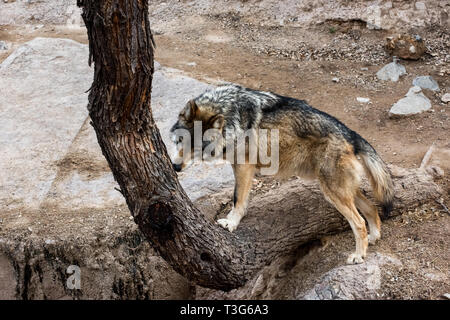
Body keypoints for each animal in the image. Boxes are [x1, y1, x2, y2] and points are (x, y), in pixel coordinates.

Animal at [170, 84, 394, 264]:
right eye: (181, 141)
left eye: (196, 148)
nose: (175, 167)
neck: (230, 112)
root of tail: (351, 134)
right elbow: (242, 198)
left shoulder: (244, 166)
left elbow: (237, 198)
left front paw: (231, 223)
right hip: (341, 190)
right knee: (372, 208)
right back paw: (374, 237)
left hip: (333, 193)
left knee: (359, 223)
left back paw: (358, 255)